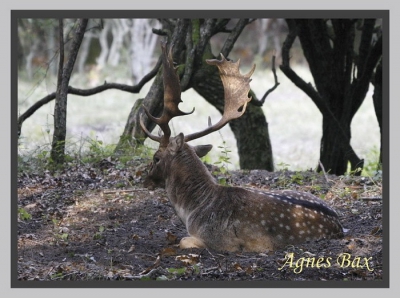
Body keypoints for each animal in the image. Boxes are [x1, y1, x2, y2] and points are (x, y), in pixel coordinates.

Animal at [139, 43, 342, 253]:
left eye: (156, 157)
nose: (144, 180)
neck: (192, 212)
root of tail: (339, 225)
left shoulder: (220, 241)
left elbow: (183, 240)